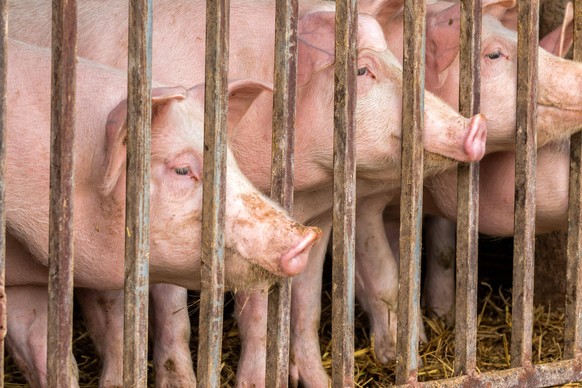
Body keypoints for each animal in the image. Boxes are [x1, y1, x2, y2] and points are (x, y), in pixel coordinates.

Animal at [356, 0, 582, 366]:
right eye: (494, 54)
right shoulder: (360, 196)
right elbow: (381, 272)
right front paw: (403, 354)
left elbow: (444, 251)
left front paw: (444, 316)